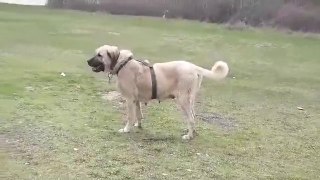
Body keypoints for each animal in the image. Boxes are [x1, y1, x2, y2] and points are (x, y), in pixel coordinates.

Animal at [86, 44, 229, 139]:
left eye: (100, 55)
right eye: (96, 53)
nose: (87, 61)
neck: (122, 63)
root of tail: (194, 67)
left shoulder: (129, 99)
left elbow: (130, 116)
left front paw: (126, 129)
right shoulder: (136, 100)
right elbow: (139, 115)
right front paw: (138, 126)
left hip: (182, 100)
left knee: (191, 118)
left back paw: (188, 136)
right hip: (190, 99)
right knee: (193, 116)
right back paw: (192, 132)